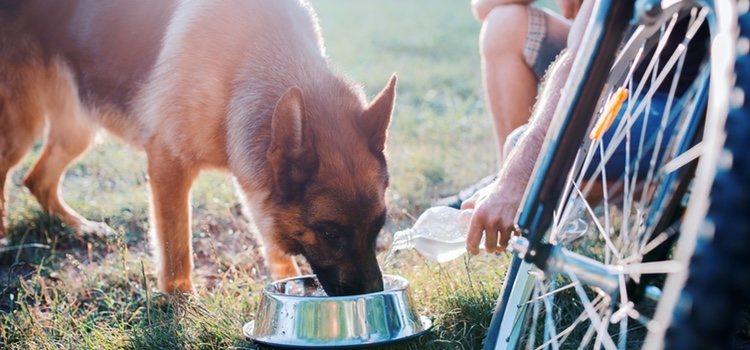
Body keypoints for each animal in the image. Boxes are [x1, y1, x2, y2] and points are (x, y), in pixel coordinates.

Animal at [0, 0, 396, 296]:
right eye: (330, 233)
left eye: (379, 225)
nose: (374, 293)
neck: (249, 57)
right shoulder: (168, 165)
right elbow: (176, 247)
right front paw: (180, 301)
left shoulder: (253, 178)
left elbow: (267, 235)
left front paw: (285, 275)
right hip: (23, 129)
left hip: (78, 130)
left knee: (38, 180)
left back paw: (81, 227)